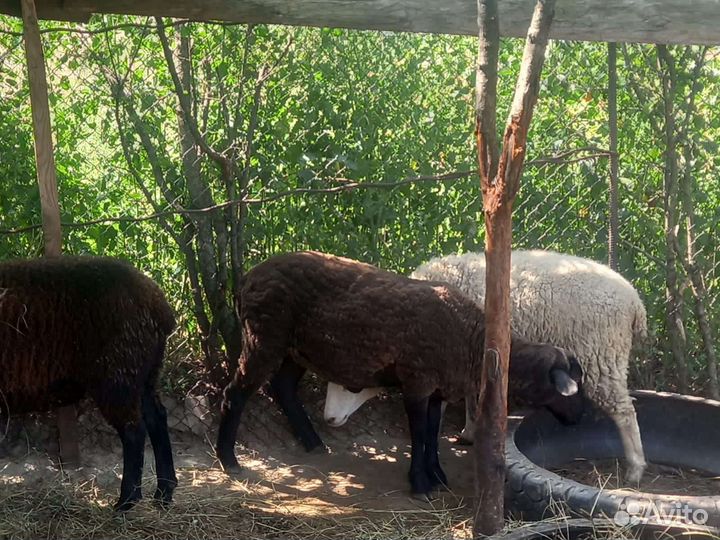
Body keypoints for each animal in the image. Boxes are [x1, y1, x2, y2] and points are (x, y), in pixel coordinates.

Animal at [0, 256, 178, 511]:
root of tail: (158, 304)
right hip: (145, 375)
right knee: (157, 419)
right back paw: (164, 493)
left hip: (117, 375)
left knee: (134, 430)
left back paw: (126, 501)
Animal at [215, 251, 583, 499]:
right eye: (569, 388)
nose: (580, 420)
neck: (472, 339)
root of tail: (247, 279)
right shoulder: (417, 380)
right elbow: (418, 434)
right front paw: (420, 483)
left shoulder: (438, 388)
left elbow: (433, 433)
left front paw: (437, 476)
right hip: (263, 337)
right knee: (235, 393)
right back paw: (228, 459)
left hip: (297, 348)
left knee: (283, 387)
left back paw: (313, 442)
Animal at [411, 249, 648, 483]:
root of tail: (635, 303)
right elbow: (471, 397)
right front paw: (468, 431)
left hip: (600, 356)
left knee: (625, 412)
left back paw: (635, 469)